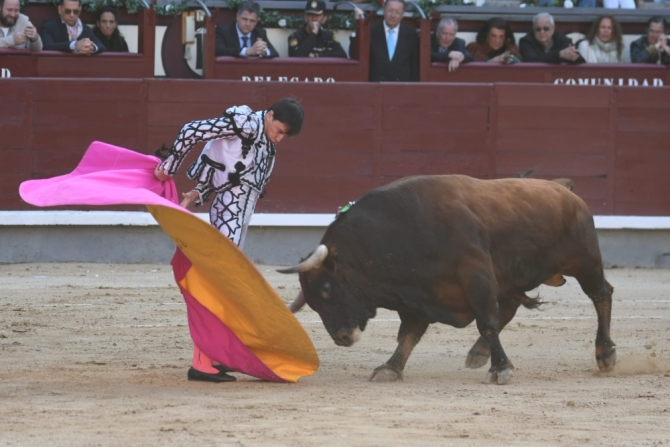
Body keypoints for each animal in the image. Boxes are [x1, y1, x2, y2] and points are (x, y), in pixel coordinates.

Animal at [280, 175, 620, 384]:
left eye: (326, 288)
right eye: (312, 302)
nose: (342, 337)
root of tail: (562, 187)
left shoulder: (477, 275)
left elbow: (486, 321)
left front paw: (501, 369)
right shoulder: (418, 296)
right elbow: (408, 335)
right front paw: (390, 367)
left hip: (584, 260)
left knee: (602, 294)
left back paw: (605, 354)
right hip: (511, 277)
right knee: (510, 307)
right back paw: (478, 352)